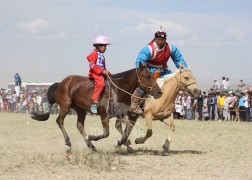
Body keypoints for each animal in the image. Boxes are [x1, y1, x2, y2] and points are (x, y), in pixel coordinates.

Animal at [31, 62, 161, 155]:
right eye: (147, 76)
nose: (159, 92)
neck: (117, 90)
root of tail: (61, 83)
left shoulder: (121, 115)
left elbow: (127, 128)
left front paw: (119, 143)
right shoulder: (104, 116)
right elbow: (106, 133)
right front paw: (92, 137)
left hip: (80, 110)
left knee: (79, 125)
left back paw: (91, 146)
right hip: (65, 107)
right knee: (60, 121)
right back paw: (68, 144)